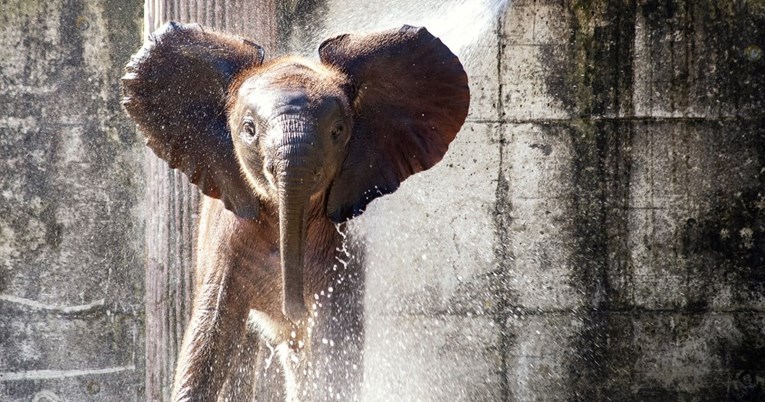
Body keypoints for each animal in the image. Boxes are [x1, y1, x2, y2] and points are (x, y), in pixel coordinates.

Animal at [122, 22, 468, 402]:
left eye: (337, 131)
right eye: (249, 129)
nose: (294, 308)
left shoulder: (340, 252)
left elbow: (331, 343)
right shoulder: (226, 241)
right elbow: (209, 333)